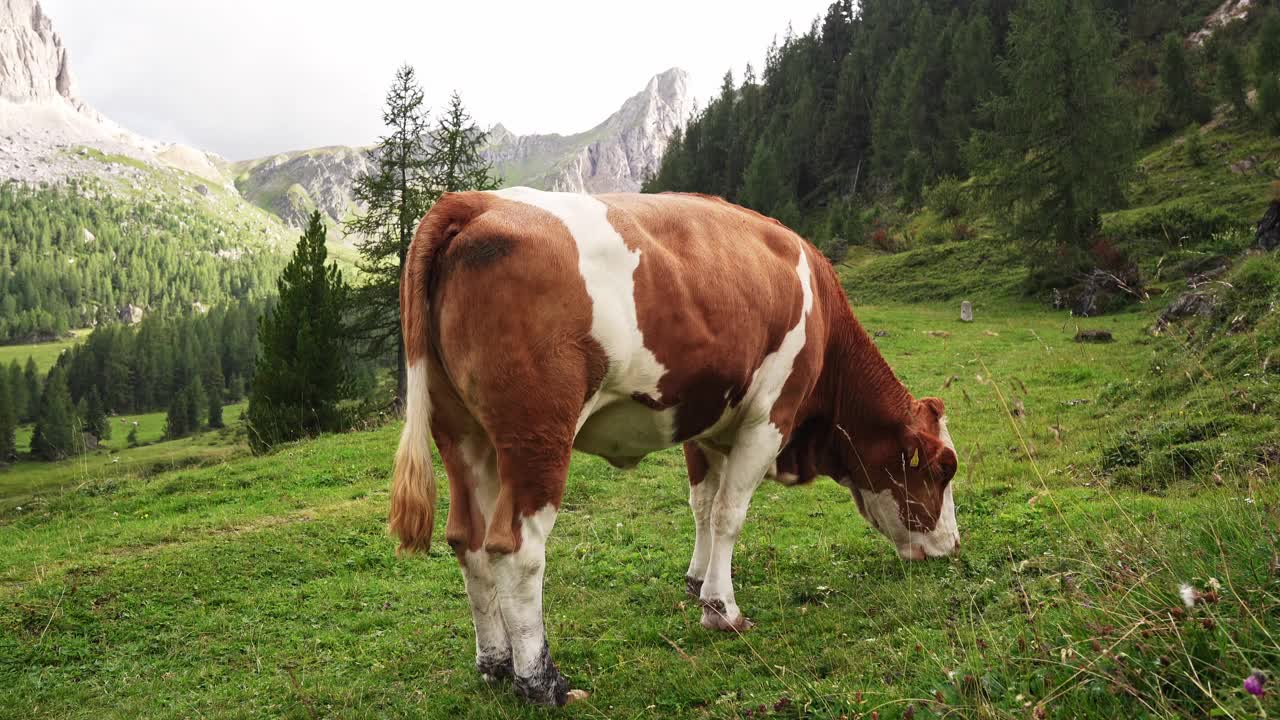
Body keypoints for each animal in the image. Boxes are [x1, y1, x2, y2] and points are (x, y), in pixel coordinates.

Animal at [389, 188, 962, 702]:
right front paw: (722, 610)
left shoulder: (704, 422)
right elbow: (729, 514)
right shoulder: (770, 418)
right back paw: (540, 681)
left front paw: (696, 580)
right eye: (942, 470)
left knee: (467, 540)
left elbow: (702, 506)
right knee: (517, 549)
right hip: (537, 434)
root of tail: (477, 201)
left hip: (463, 434)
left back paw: (496, 663)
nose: (954, 546)